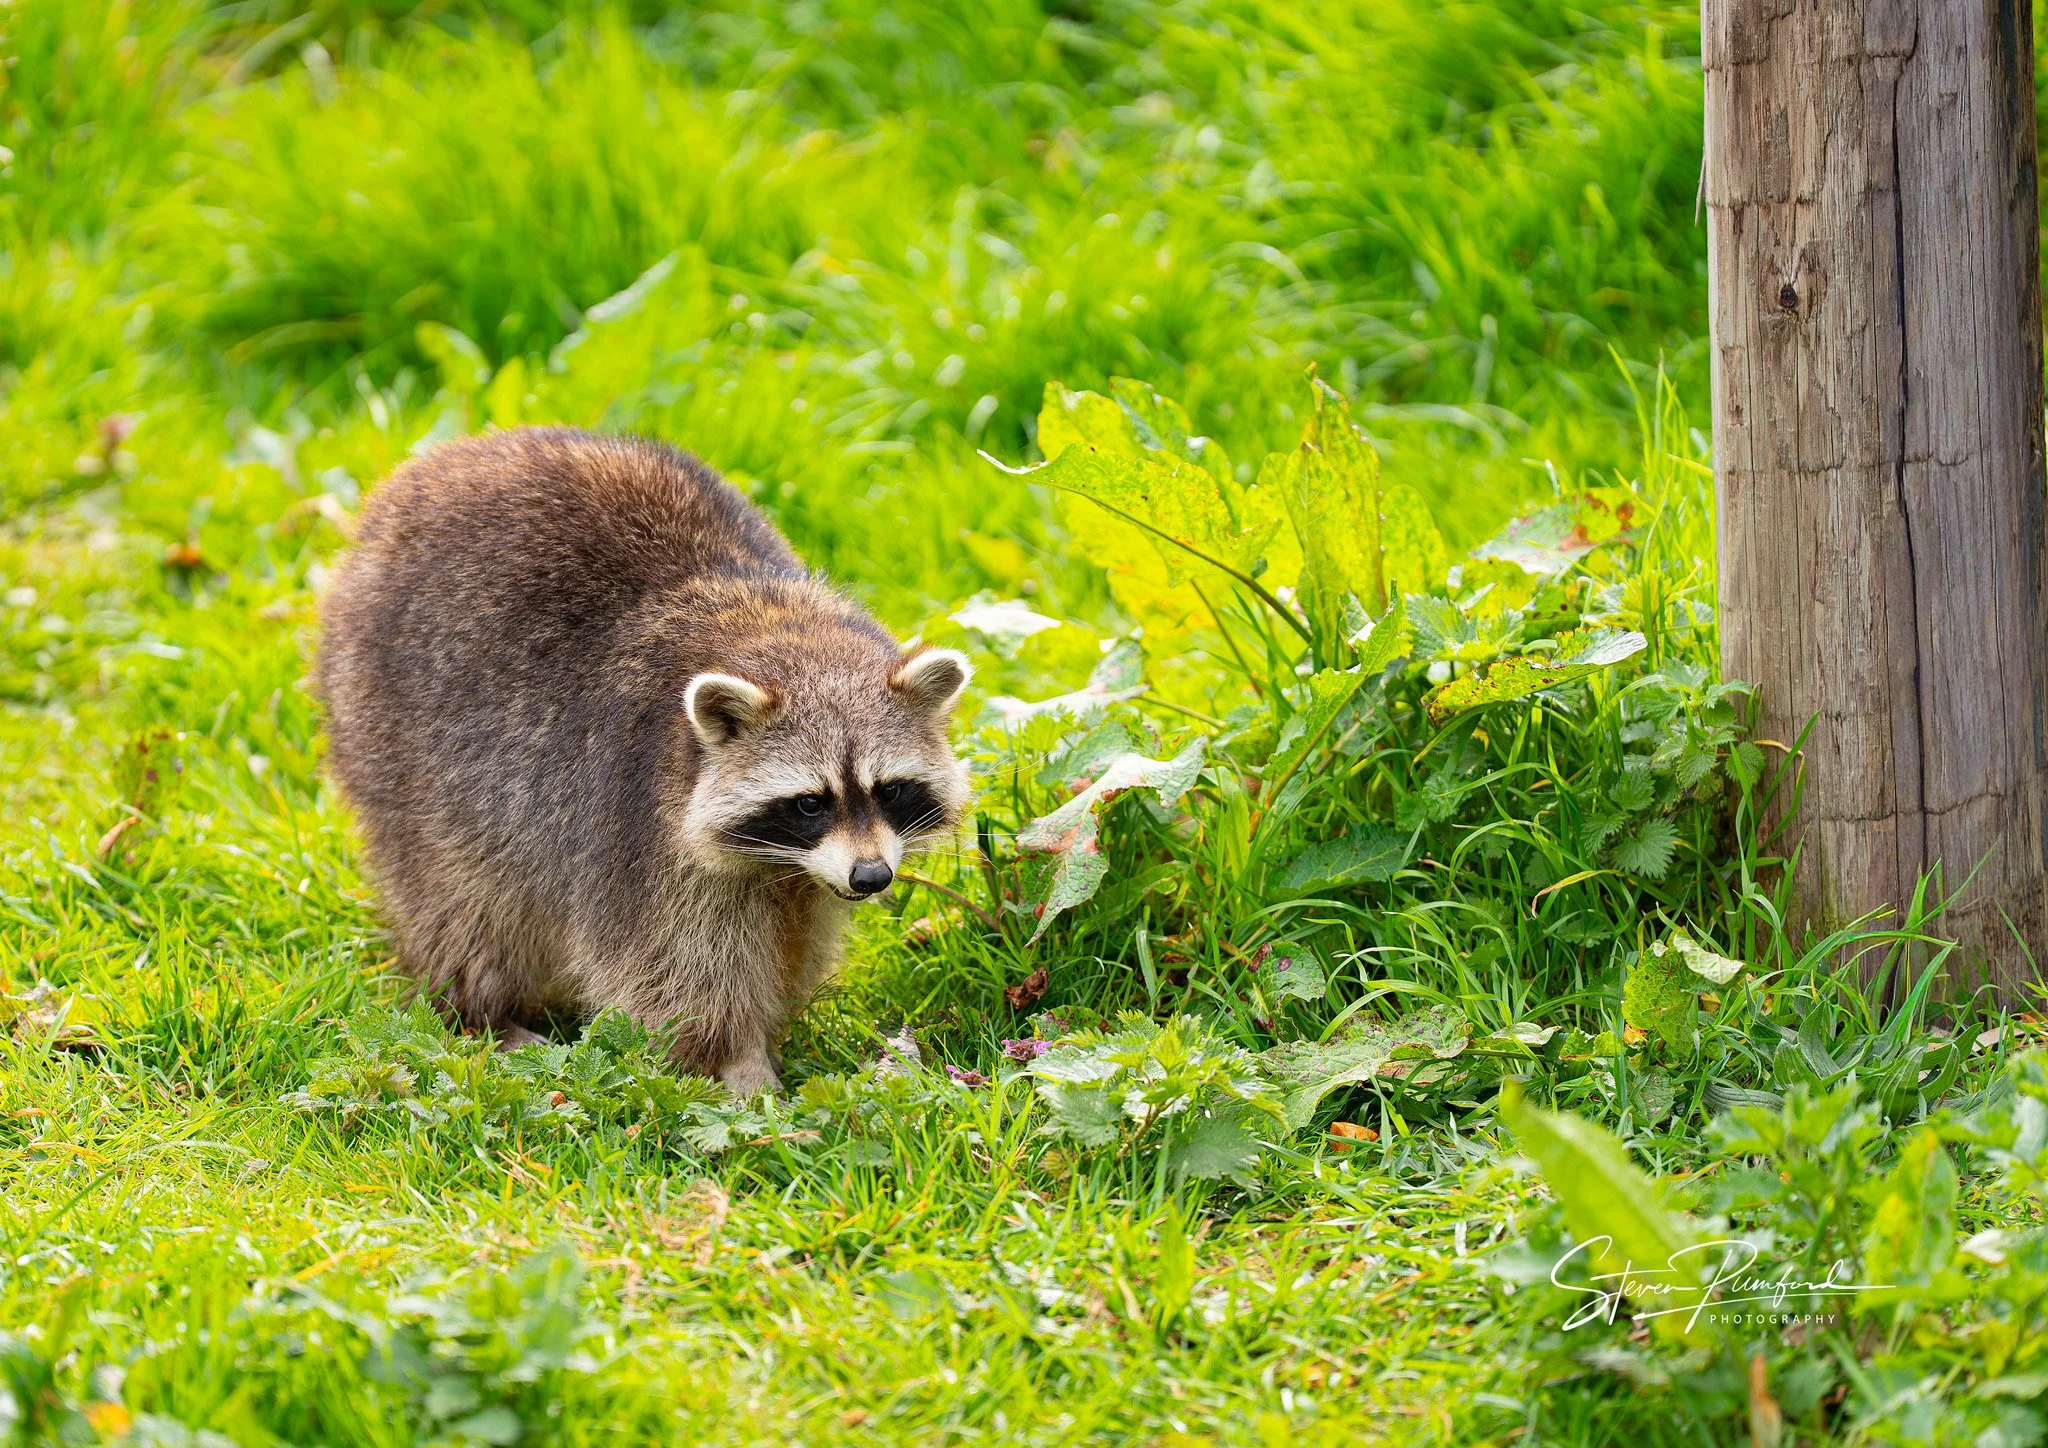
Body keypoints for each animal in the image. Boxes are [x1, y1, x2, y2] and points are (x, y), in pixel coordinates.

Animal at [315, 427, 972, 1094]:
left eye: (889, 790)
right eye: (811, 802)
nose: (871, 878)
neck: (782, 633)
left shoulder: (803, 876)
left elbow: (796, 941)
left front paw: (765, 1037)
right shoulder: (639, 821)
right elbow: (677, 970)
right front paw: (737, 1064)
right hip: (397, 731)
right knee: (464, 894)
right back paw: (481, 1011)